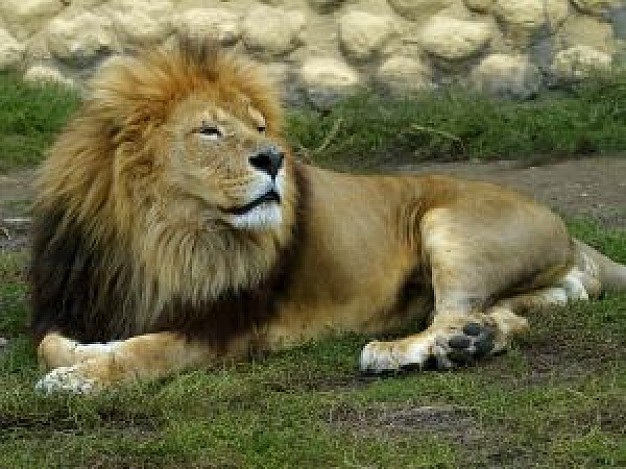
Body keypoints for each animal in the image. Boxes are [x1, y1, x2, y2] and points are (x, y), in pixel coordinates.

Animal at [31, 39, 624, 392]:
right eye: (210, 130)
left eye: (259, 127)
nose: (274, 158)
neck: (165, 234)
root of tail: (573, 236)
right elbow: (51, 343)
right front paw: (75, 354)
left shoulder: (232, 327)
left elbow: (146, 353)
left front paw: (78, 380)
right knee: (513, 316)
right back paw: (471, 340)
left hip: (447, 225)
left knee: (454, 311)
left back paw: (411, 350)